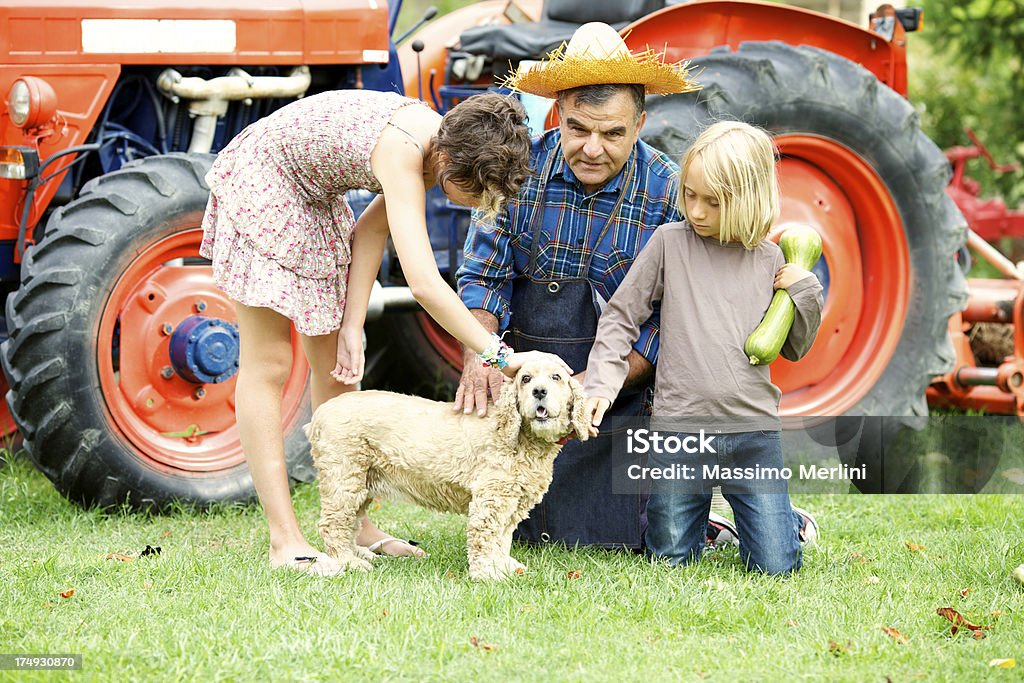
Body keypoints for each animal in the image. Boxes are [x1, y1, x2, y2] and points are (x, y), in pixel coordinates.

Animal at [307, 360, 589, 581]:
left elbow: (502, 538)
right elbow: (486, 538)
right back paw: (349, 562)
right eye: (525, 379)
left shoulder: (512, 503)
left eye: (556, 377)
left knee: (351, 523)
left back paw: (360, 553)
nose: (539, 391)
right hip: (343, 476)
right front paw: (487, 574)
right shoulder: (490, 500)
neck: (523, 440)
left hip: (362, 481)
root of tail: (319, 413)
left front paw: (504, 566)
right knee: (332, 524)